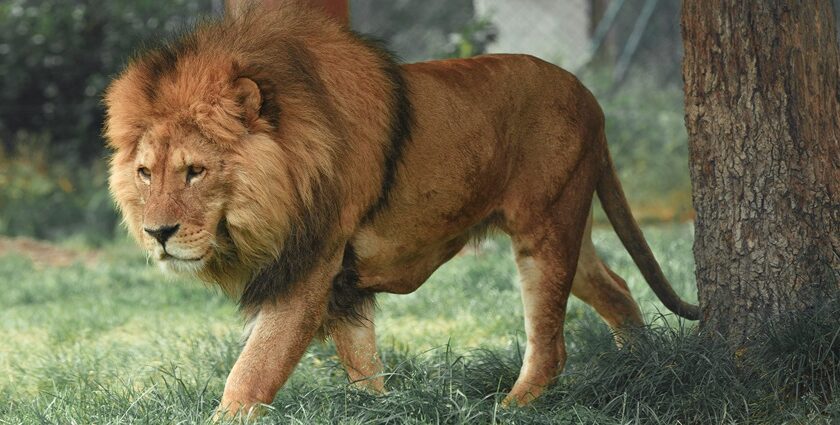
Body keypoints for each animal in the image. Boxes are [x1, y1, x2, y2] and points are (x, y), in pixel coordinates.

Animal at [103, 0, 696, 418]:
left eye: (195, 171)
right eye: (145, 173)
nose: (158, 233)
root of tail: (590, 97)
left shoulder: (310, 268)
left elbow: (253, 371)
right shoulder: (340, 282)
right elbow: (362, 364)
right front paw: (383, 409)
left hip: (545, 227)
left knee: (550, 347)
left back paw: (511, 408)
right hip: (569, 222)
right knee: (615, 286)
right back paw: (642, 366)